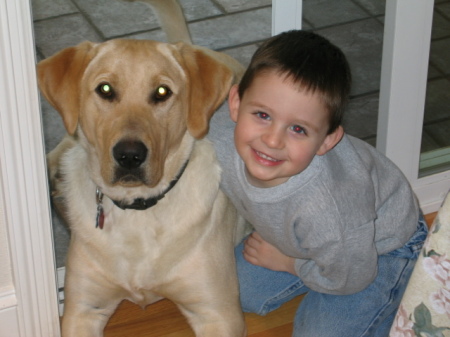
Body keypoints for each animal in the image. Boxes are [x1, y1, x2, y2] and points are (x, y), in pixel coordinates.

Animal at [37, 1, 248, 334]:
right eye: (105, 89)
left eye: (162, 92)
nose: (130, 156)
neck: (138, 210)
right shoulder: (82, 309)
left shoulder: (218, 313)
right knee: (68, 141)